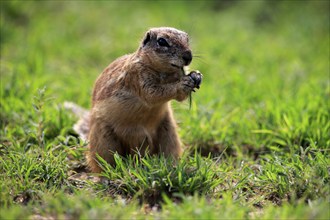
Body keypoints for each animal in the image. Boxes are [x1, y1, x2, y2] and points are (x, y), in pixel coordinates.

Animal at [69, 27, 202, 172]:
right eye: (162, 41)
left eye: (187, 38)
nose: (188, 57)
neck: (163, 72)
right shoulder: (137, 77)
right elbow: (153, 94)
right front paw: (183, 83)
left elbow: (179, 97)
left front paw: (196, 75)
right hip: (104, 141)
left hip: (169, 133)